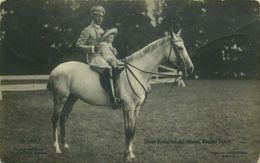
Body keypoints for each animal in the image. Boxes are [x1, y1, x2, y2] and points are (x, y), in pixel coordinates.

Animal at [47, 29, 193, 162]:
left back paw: (65, 145)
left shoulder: (136, 108)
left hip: (72, 98)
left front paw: (130, 154)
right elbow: (128, 130)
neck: (137, 72)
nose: (190, 68)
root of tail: (55, 69)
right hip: (60, 98)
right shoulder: (128, 107)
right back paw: (57, 148)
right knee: (55, 119)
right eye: (180, 47)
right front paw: (126, 156)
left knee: (64, 118)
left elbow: (132, 129)